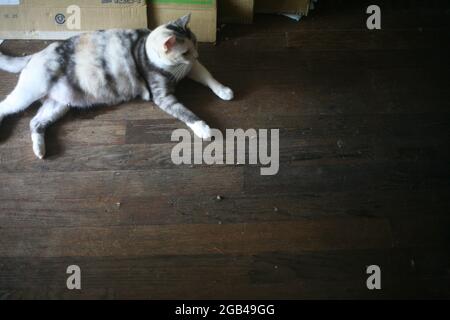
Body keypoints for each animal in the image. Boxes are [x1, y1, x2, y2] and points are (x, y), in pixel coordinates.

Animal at [0, 14, 232, 159]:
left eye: (195, 42)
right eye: (185, 52)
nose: (197, 55)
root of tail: (34, 55)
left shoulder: (191, 68)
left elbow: (208, 76)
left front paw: (224, 91)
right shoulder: (163, 96)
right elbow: (186, 112)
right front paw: (203, 128)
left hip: (57, 105)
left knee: (35, 122)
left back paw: (39, 150)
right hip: (27, 95)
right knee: (5, 106)